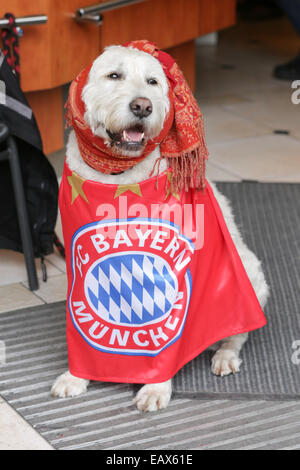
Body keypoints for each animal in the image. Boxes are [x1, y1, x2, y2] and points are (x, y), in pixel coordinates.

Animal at [51, 45, 270, 412]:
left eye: (153, 81)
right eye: (114, 75)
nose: (143, 106)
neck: (118, 176)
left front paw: (155, 386)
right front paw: (76, 376)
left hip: (249, 272)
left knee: (239, 332)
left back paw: (224, 354)